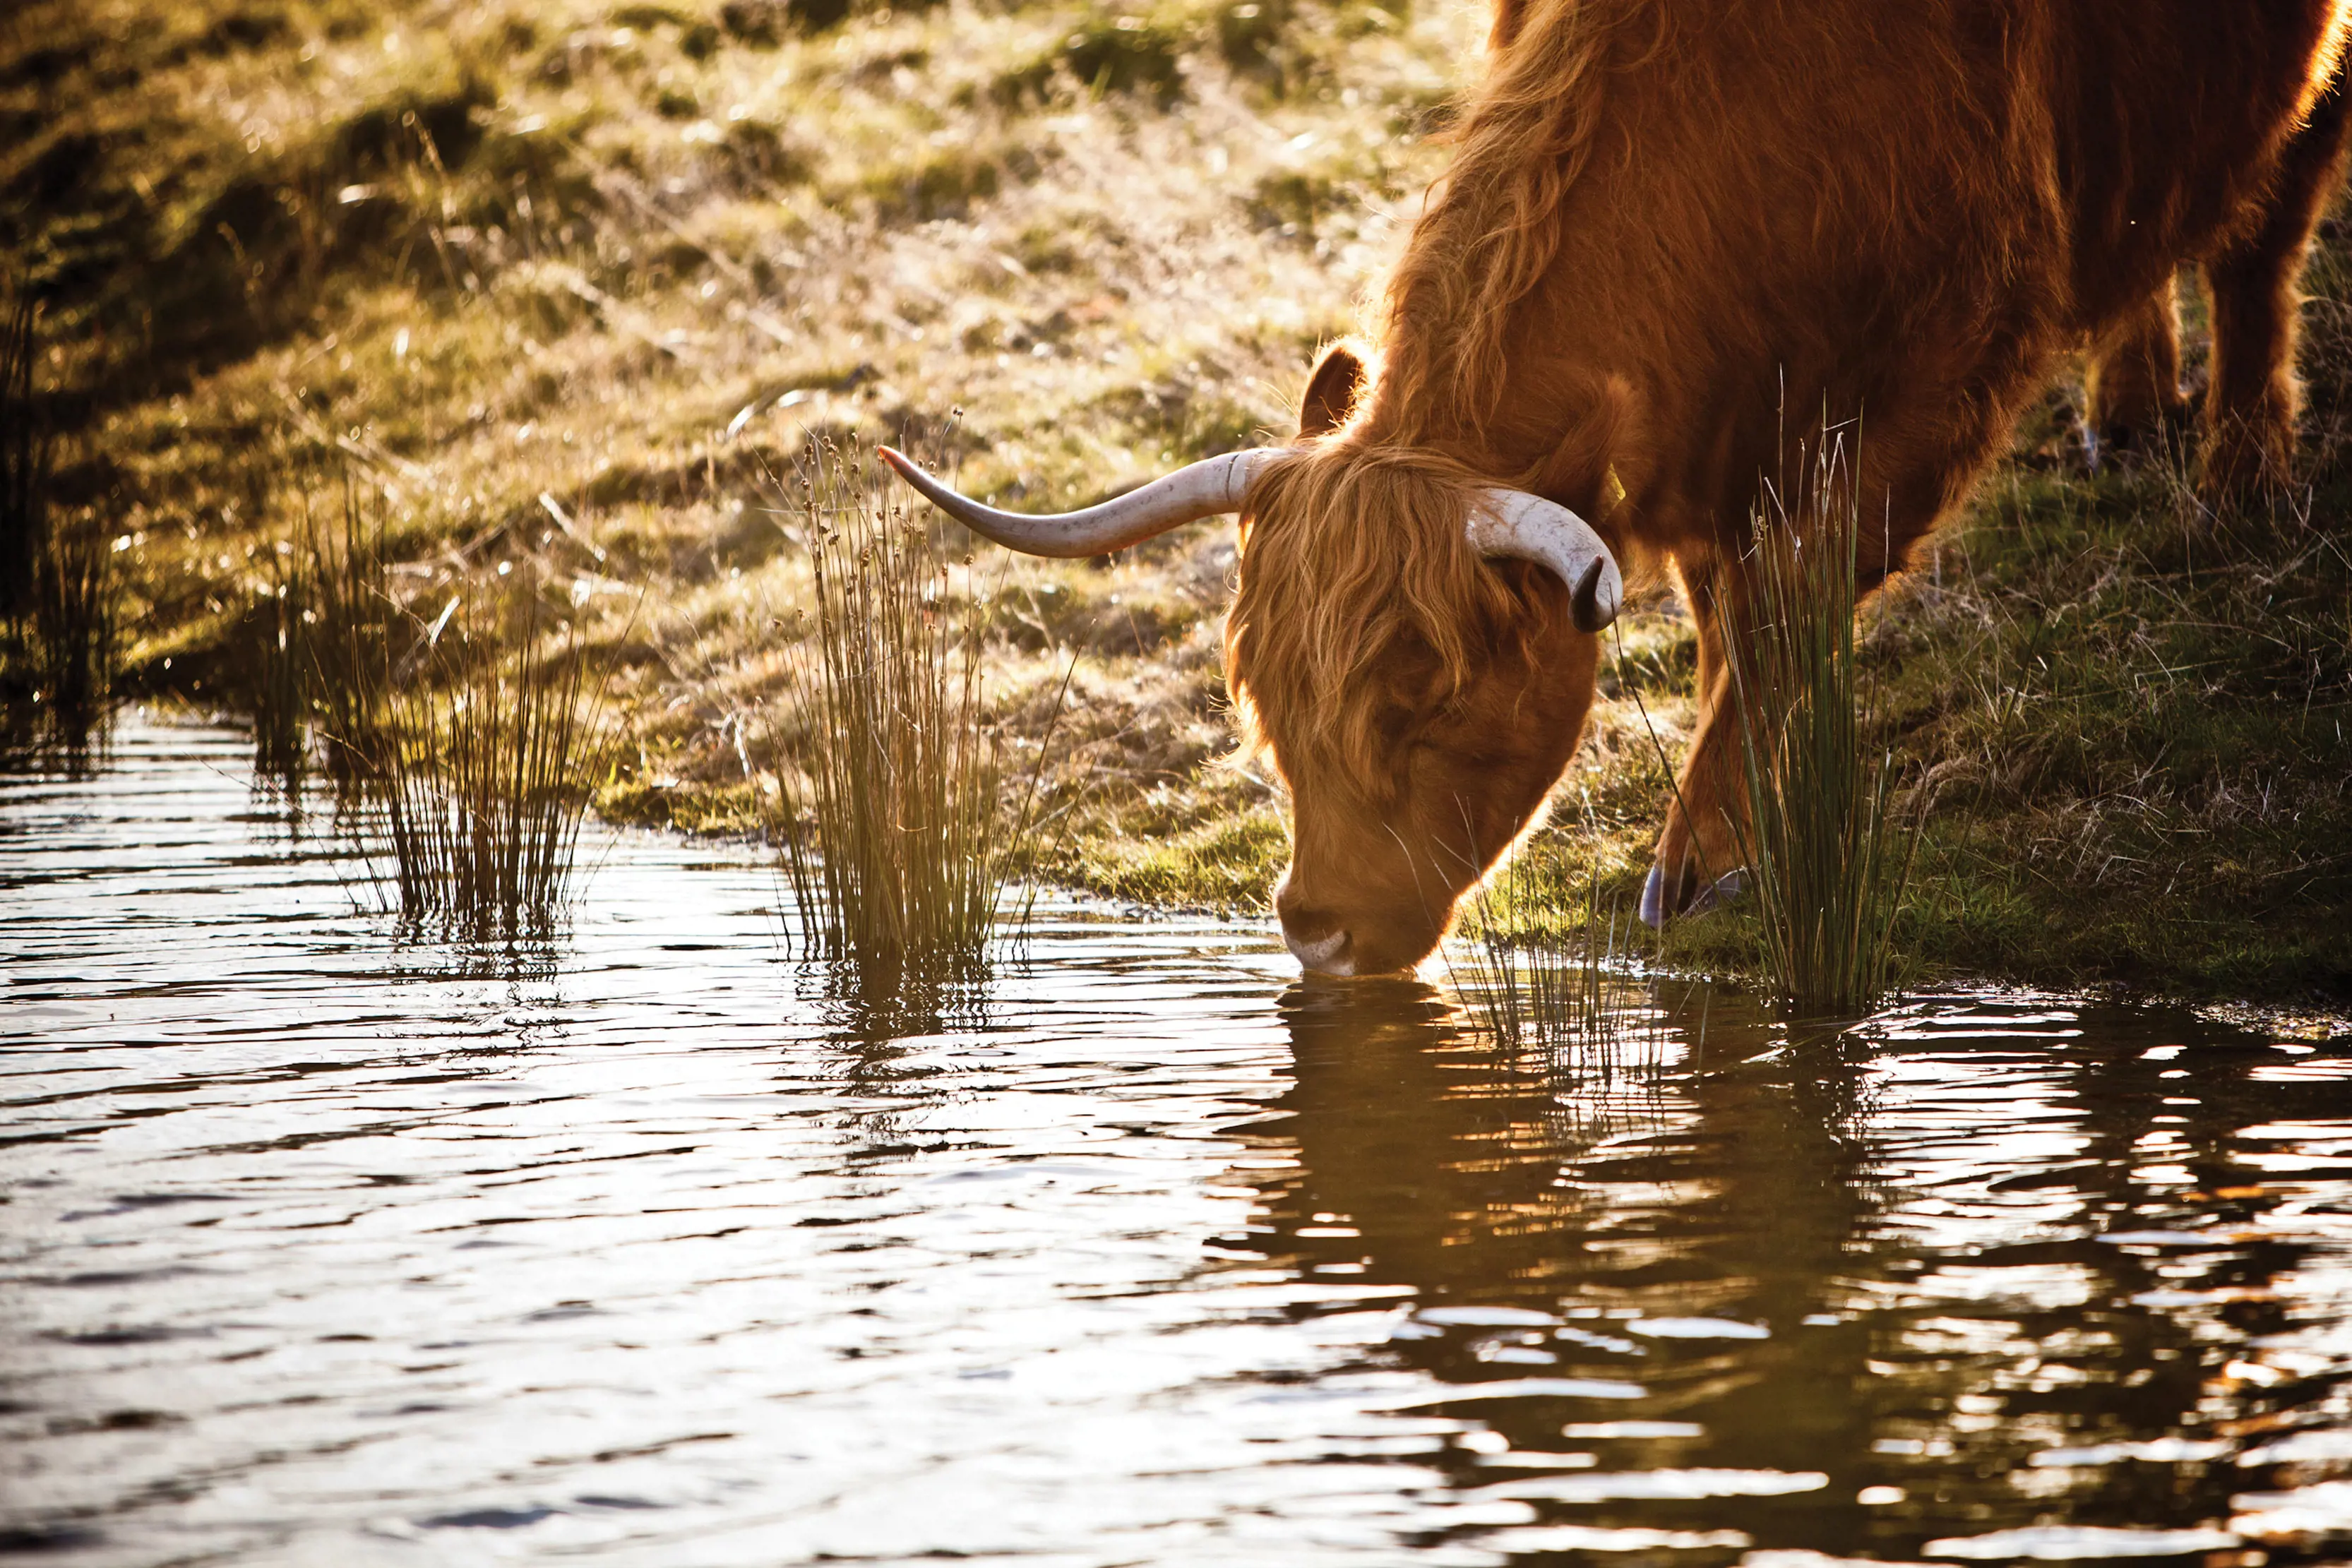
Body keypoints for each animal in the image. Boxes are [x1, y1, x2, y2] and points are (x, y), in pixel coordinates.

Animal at [882, 0, 2352, 976]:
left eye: (1424, 695)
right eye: (1262, 698)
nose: (1316, 930)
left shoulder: (1951, 353)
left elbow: (1789, 600)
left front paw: (1703, 863)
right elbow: (1724, 616)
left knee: (2263, 233)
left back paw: (2239, 473)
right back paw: (2128, 413)